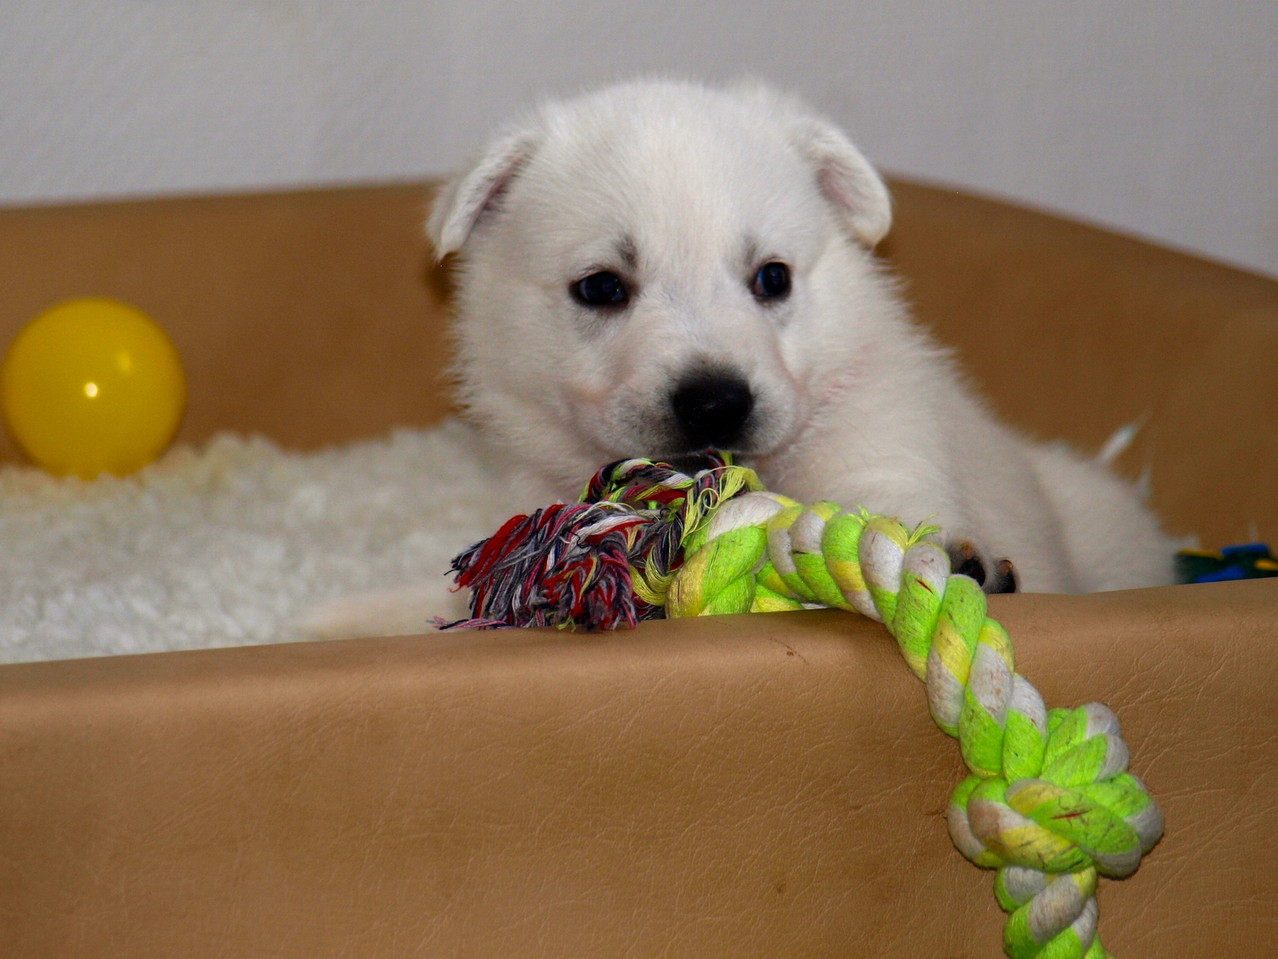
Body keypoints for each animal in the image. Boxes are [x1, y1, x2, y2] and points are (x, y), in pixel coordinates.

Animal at [431, 78, 1175, 598]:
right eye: (602, 287)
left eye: (773, 277)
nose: (715, 402)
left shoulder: (880, 441)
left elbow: (887, 508)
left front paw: (954, 559)